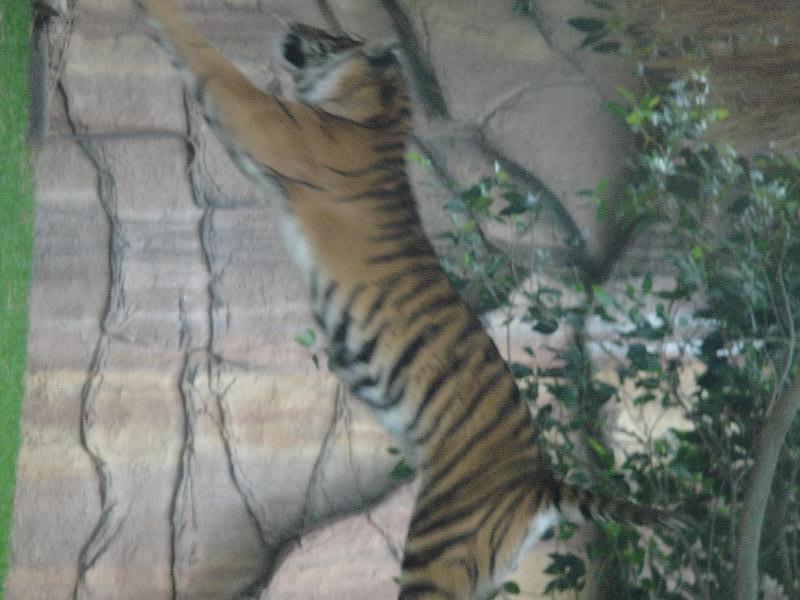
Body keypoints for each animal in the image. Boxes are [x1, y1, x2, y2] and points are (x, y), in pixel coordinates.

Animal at [136, 2, 676, 596]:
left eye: (333, 35)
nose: (294, 24)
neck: (380, 116)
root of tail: (540, 483)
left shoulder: (271, 125)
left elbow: (212, 62)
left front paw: (159, 13)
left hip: (439, 540)